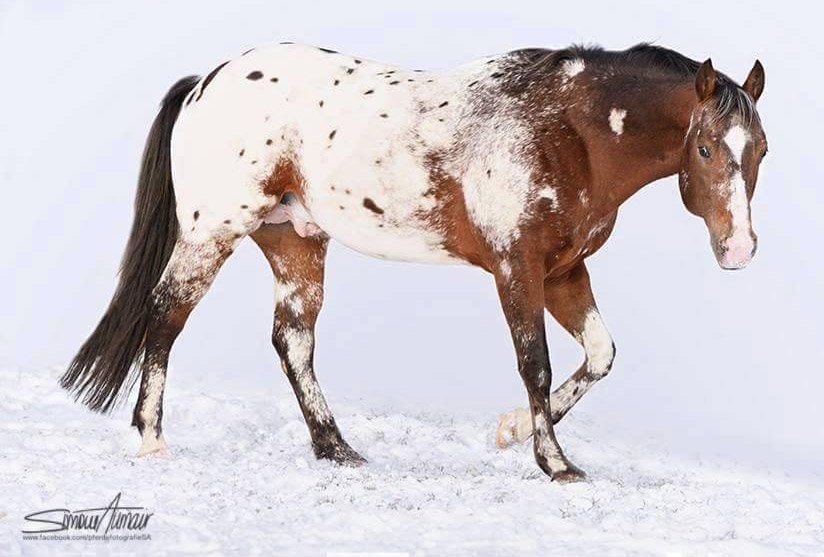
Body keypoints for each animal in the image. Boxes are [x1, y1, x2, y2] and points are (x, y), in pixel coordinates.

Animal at [62, 42, 768, 482]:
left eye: (760, 148)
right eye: (705, 148)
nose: (738, 250)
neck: (566, 131)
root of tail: (205, 82)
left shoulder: (566, 271)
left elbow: (600, 355)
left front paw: (512, 432)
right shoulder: (517, 268)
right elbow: (535, 366)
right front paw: (555, 463)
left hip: (295, 244)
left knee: (292, 341)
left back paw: (336, 449)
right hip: (213, 232)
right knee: (165, 316)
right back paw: (151, 438)